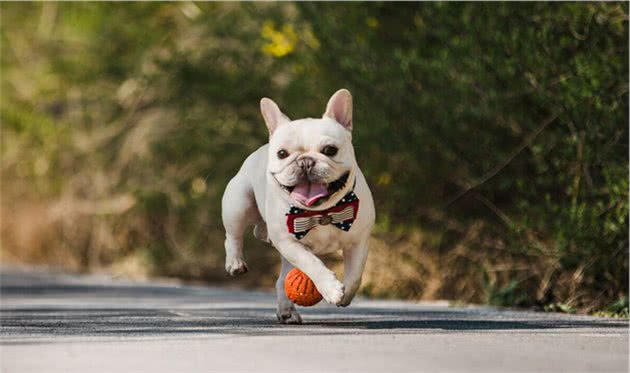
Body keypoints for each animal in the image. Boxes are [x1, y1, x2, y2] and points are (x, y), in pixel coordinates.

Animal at [223, 89, 376, 322]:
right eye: (282, 154)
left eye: (330, 150)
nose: (305, 161)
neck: (322, 212)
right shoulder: (289, 243)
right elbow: (311, 263)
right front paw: (330, 288)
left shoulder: (358, 242)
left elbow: (355, 275)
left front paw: (345, 294)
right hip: (238, 203)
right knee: (233, 236)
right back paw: (235, 262)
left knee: (281, 280)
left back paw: (287, 311)